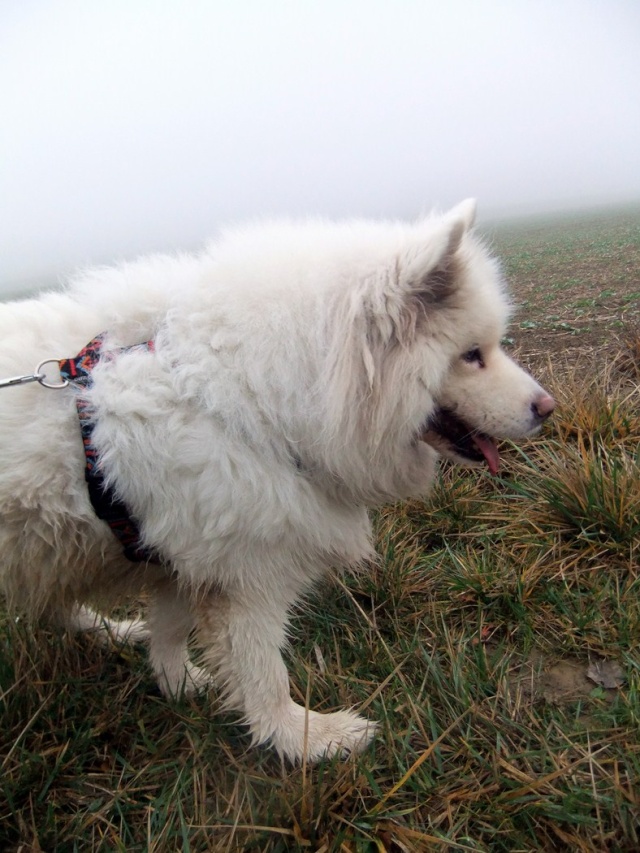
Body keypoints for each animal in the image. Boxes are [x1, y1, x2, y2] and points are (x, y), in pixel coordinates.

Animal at [0, 200, 552, 760]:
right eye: (471, 355)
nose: (547, 409)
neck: (237, 397)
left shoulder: (188, 560)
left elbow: (172, 635)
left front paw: (179, 685)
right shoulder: (244, 575)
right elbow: (265, 675)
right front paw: (307, 740)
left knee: (50, 604)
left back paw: (108, 630)